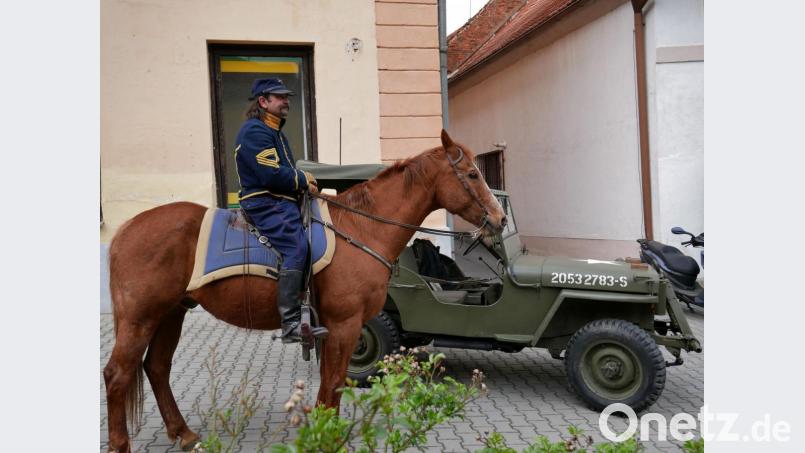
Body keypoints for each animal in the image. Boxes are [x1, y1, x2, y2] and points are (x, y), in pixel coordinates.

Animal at [103, 130, 507, 452]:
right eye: (473, 174)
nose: (500, 219)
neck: (360, 228)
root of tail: (126, 229)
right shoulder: (346, 324)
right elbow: (334, 383)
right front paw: (329, 434)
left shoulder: (332, 327)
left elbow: (331, 383)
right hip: (140, 318)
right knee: (117, 375)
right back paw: (122, 444)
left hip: (171, 313)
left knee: (156, 368)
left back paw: (183, 433)